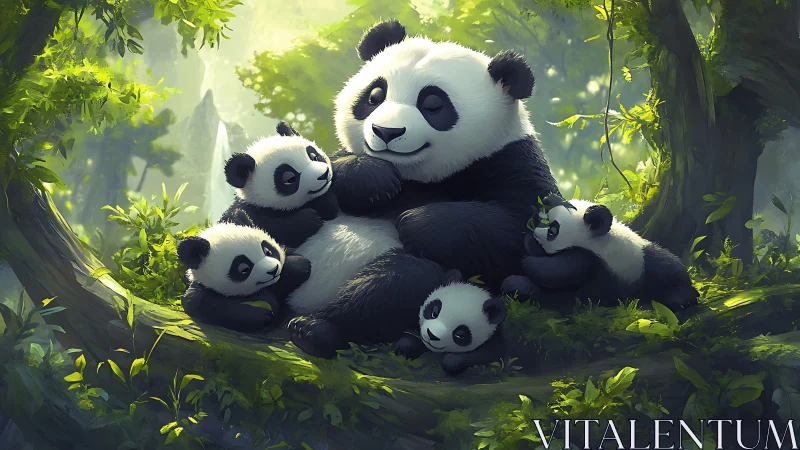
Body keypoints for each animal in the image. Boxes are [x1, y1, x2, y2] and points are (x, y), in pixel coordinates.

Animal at [177, 209, 312, 332]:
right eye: (244, 269)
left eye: (268, 251)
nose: (273, 270)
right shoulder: (203, 290)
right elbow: (210, 306)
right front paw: (261, 314)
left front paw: (300, 265)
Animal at [287, 19, 560, 359]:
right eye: (374, 96)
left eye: (432, 104)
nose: (386, 131)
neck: (416, 177)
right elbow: (330, 170)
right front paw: (372, 179)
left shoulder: (509, 158)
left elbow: (524, 227)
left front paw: (417, 222)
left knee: (400, 281)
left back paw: (315, 329)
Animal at [501, 194, 700, 311]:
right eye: (541, 220)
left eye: (553, 230)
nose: (535, 233)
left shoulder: (600, 259)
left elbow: (559, 270)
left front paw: (530, 260)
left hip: (642, 263)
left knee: (666, 266)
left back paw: (681, 297)